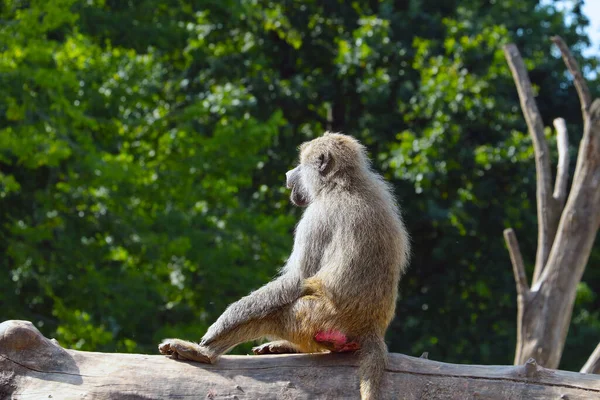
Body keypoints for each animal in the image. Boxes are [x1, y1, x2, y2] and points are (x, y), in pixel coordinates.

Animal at [158, 133, 412, 398]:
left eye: (300, 165)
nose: (289, 174)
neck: (344, 183)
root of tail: (372, 328)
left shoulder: (315, 217)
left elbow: (296, 278)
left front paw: (219, 327)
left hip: (321, 318)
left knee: (274, 312)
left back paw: (205, 354)